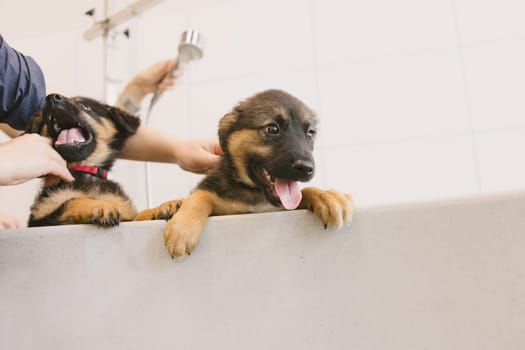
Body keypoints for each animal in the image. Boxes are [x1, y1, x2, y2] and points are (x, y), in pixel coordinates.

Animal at [26, 93, 140, 227]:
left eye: (85, 106)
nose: (51, 97)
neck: (83, 169)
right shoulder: (40, 218)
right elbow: (72, 200)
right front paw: (100, 205)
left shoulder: (127, 214)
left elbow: (138, 216)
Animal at [133, 89, 354, 260]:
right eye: (272, 128)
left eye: (310, 133)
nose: (307, 168)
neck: (253, 194)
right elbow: (200, 196)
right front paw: (183, 229)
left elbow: (305, 192)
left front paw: (328, 196)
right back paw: (164, 208)